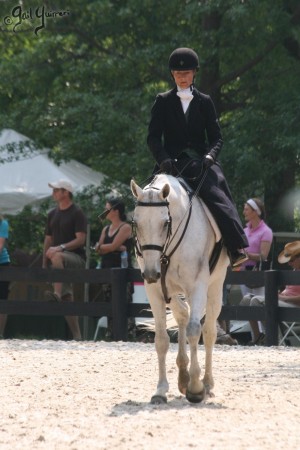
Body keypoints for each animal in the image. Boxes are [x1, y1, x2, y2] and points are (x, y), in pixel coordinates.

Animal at [130, 174, 229, 402]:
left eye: (165, 223)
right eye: (135, 222)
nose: (151, 272)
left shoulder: (197, 286)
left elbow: (195, 331)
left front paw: (196, 387)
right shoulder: (156, 291)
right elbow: (161, 339)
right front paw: (161, 390)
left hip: (215, 286)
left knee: (208, 332)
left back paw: (207, 383)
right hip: (172, 292)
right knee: (182, 315)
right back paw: (183, 376)